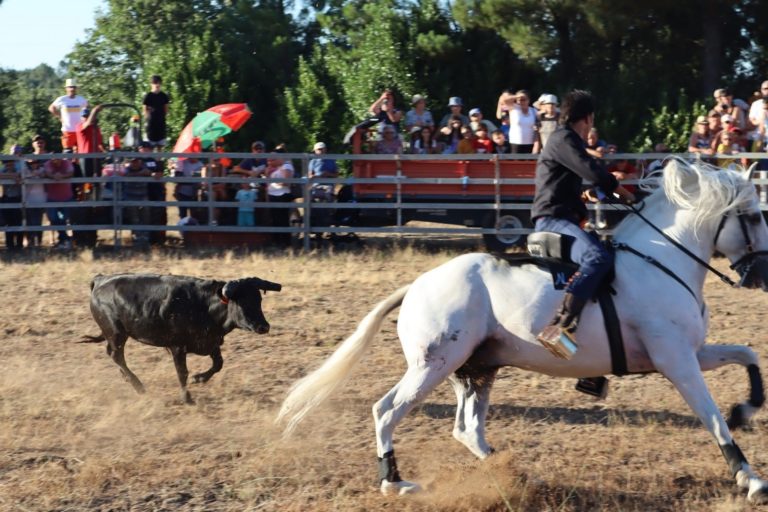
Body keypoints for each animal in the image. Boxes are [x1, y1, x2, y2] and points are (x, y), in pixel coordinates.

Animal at [280, 160, 768, 504]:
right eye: (752, 216)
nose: (761, 272)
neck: (661, 260)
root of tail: (417, 285)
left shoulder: (692, 352)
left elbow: (747, 355)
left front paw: (745, 408)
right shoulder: (676, 360)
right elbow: (711, 418)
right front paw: (749, 478)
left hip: (478, 370)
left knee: (468, 430)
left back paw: (513, 474)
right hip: (433, 365)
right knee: (386, 411)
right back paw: (396, 483)